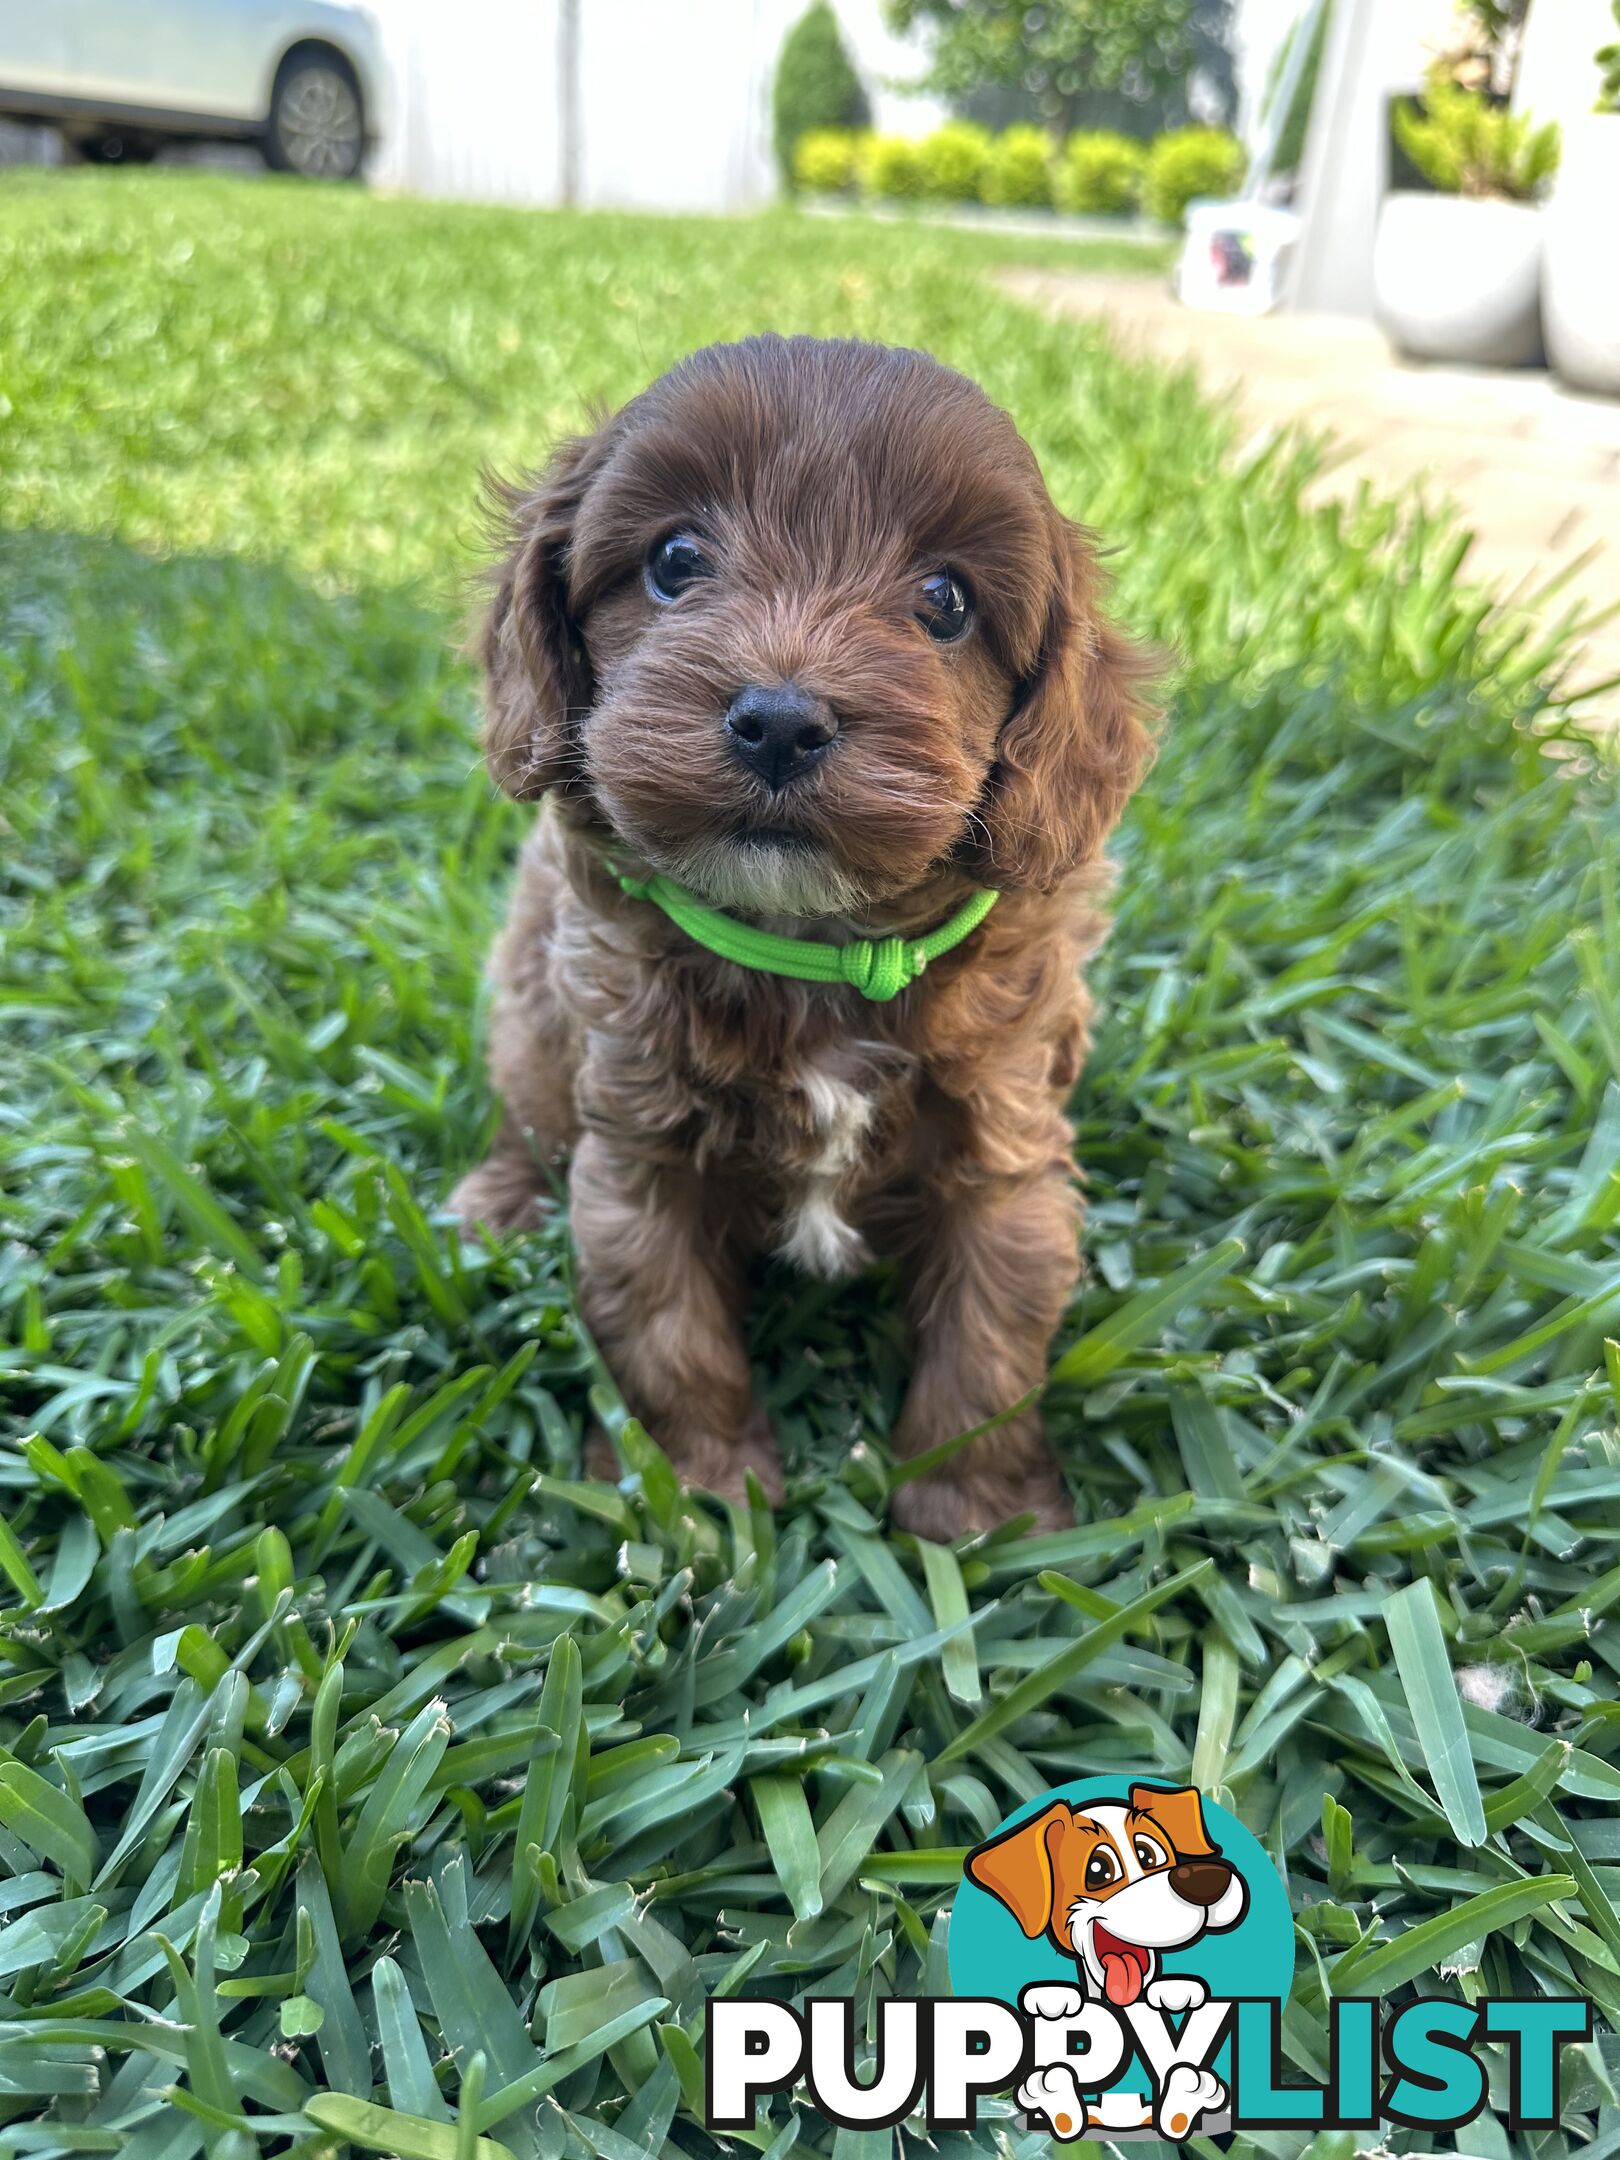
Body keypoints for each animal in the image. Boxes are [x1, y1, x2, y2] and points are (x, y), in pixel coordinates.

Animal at [457, 332, 1157, 1537]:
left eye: (945, 602)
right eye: (675, 559)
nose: (781, 721)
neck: (816, 944)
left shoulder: (1006, 1150)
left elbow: (990, 1342)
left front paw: (976, 1515)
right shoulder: (639, 1154)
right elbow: (667, 1335)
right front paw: (697, 1496)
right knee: (526, 1103)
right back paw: (496, 1201)